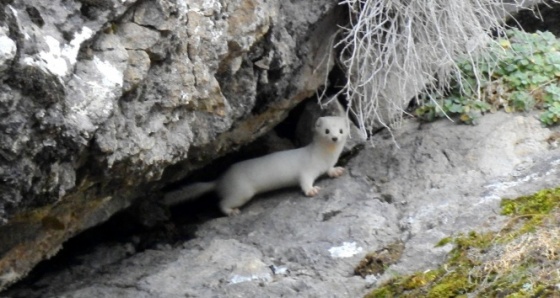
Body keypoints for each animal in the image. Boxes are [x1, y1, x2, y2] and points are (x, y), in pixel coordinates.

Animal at [162, 115, 348, 215]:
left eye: (341, 130)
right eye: (326, 131)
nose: (334, 138)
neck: (324, 157)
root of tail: (220, 180)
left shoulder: (326, 164)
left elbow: (330, 170)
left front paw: (337, 171)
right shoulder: (307, 169)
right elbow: (304, 181)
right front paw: (312, 190)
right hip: (242, 191)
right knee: (222, 203)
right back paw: (231, 211)